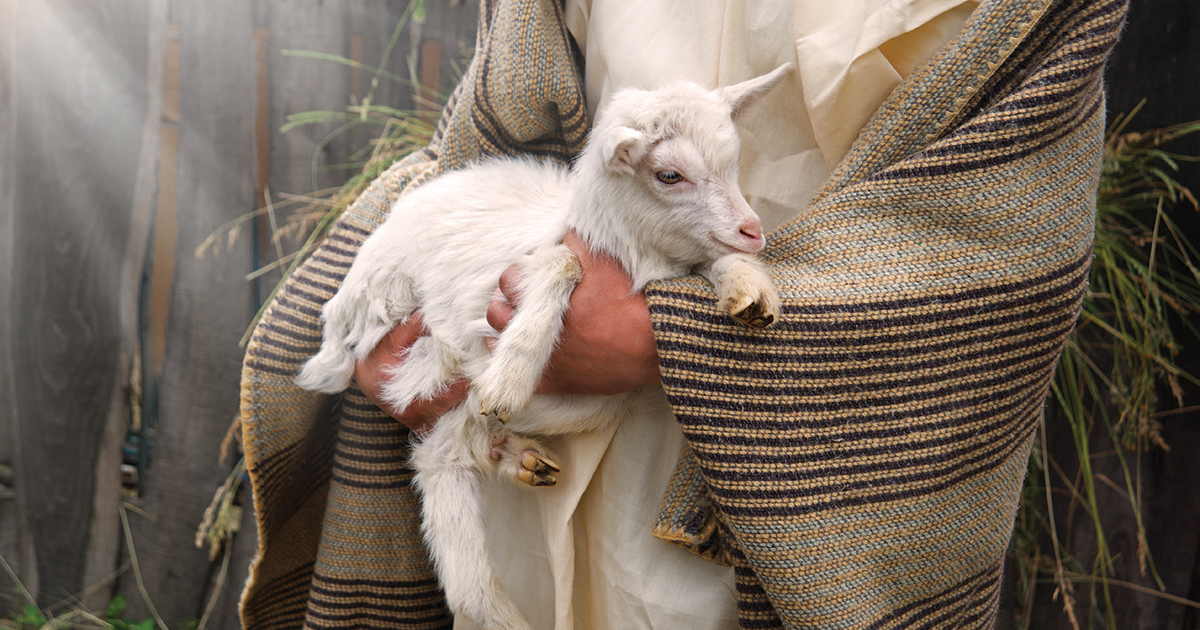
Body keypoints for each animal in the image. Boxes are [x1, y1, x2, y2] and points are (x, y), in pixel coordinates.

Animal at [296, 63, 790, 630]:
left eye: (733, 163)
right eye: (669, 175)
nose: (752, 232)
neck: (627, 251)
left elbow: (711, 262)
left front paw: (749, 288)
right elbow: (561, 263)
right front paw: (511, 378)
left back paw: (521, 459)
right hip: (396, 324)